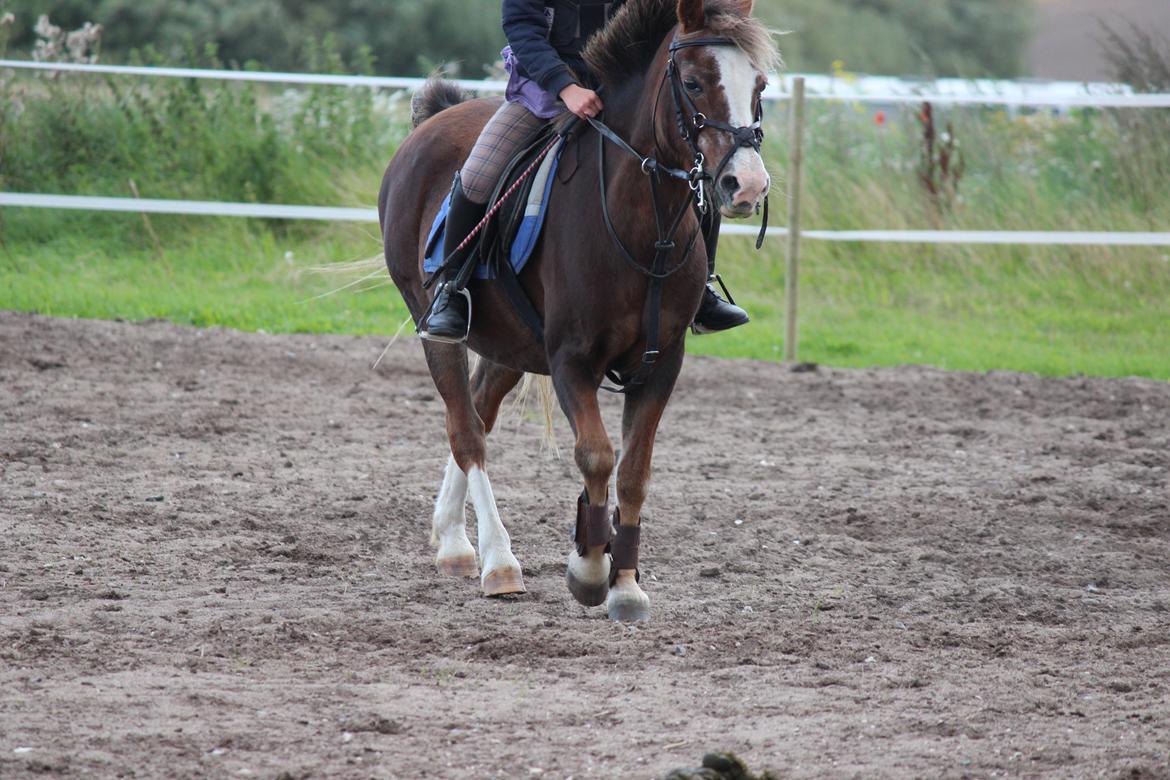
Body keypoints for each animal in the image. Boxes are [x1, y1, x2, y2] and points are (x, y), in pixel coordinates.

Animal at [378, 0, 778, 621]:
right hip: (437, 331)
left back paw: (454, 541)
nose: (747, 185)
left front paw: (627, 585)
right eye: (692, 83)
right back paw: (498, 562)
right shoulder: (571, 361)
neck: (640, 223)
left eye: (758, 85)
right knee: (466, 432)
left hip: (510, 345)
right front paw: (589, 569)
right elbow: (596, 457)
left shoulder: (661, 364)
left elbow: (634, 472)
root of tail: (431, 126)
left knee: (477, 414)